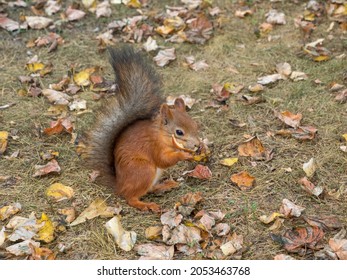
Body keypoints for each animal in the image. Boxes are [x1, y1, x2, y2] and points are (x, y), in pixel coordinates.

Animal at [83, 46, 201, 212]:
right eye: (179, 132)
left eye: (195, 125)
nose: (197, 144)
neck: (162, 135)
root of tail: (120, 186)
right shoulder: (153, 146)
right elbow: (163, 160)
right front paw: (183, 155)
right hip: (143, 170)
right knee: (131, 198)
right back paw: (146, 205)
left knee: (149, 189)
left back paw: (166, 185)